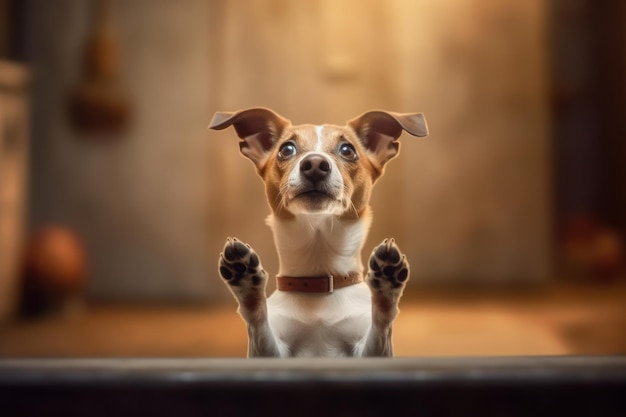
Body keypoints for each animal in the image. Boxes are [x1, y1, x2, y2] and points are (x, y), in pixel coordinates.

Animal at [207, 106, 426, 354]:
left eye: (347, 150)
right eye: (287, 149)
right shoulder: (269, 351)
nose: (314, 164)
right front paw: (245, 281)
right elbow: (257, 321)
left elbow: (381, 323)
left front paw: (387, 285)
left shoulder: (371, 352)